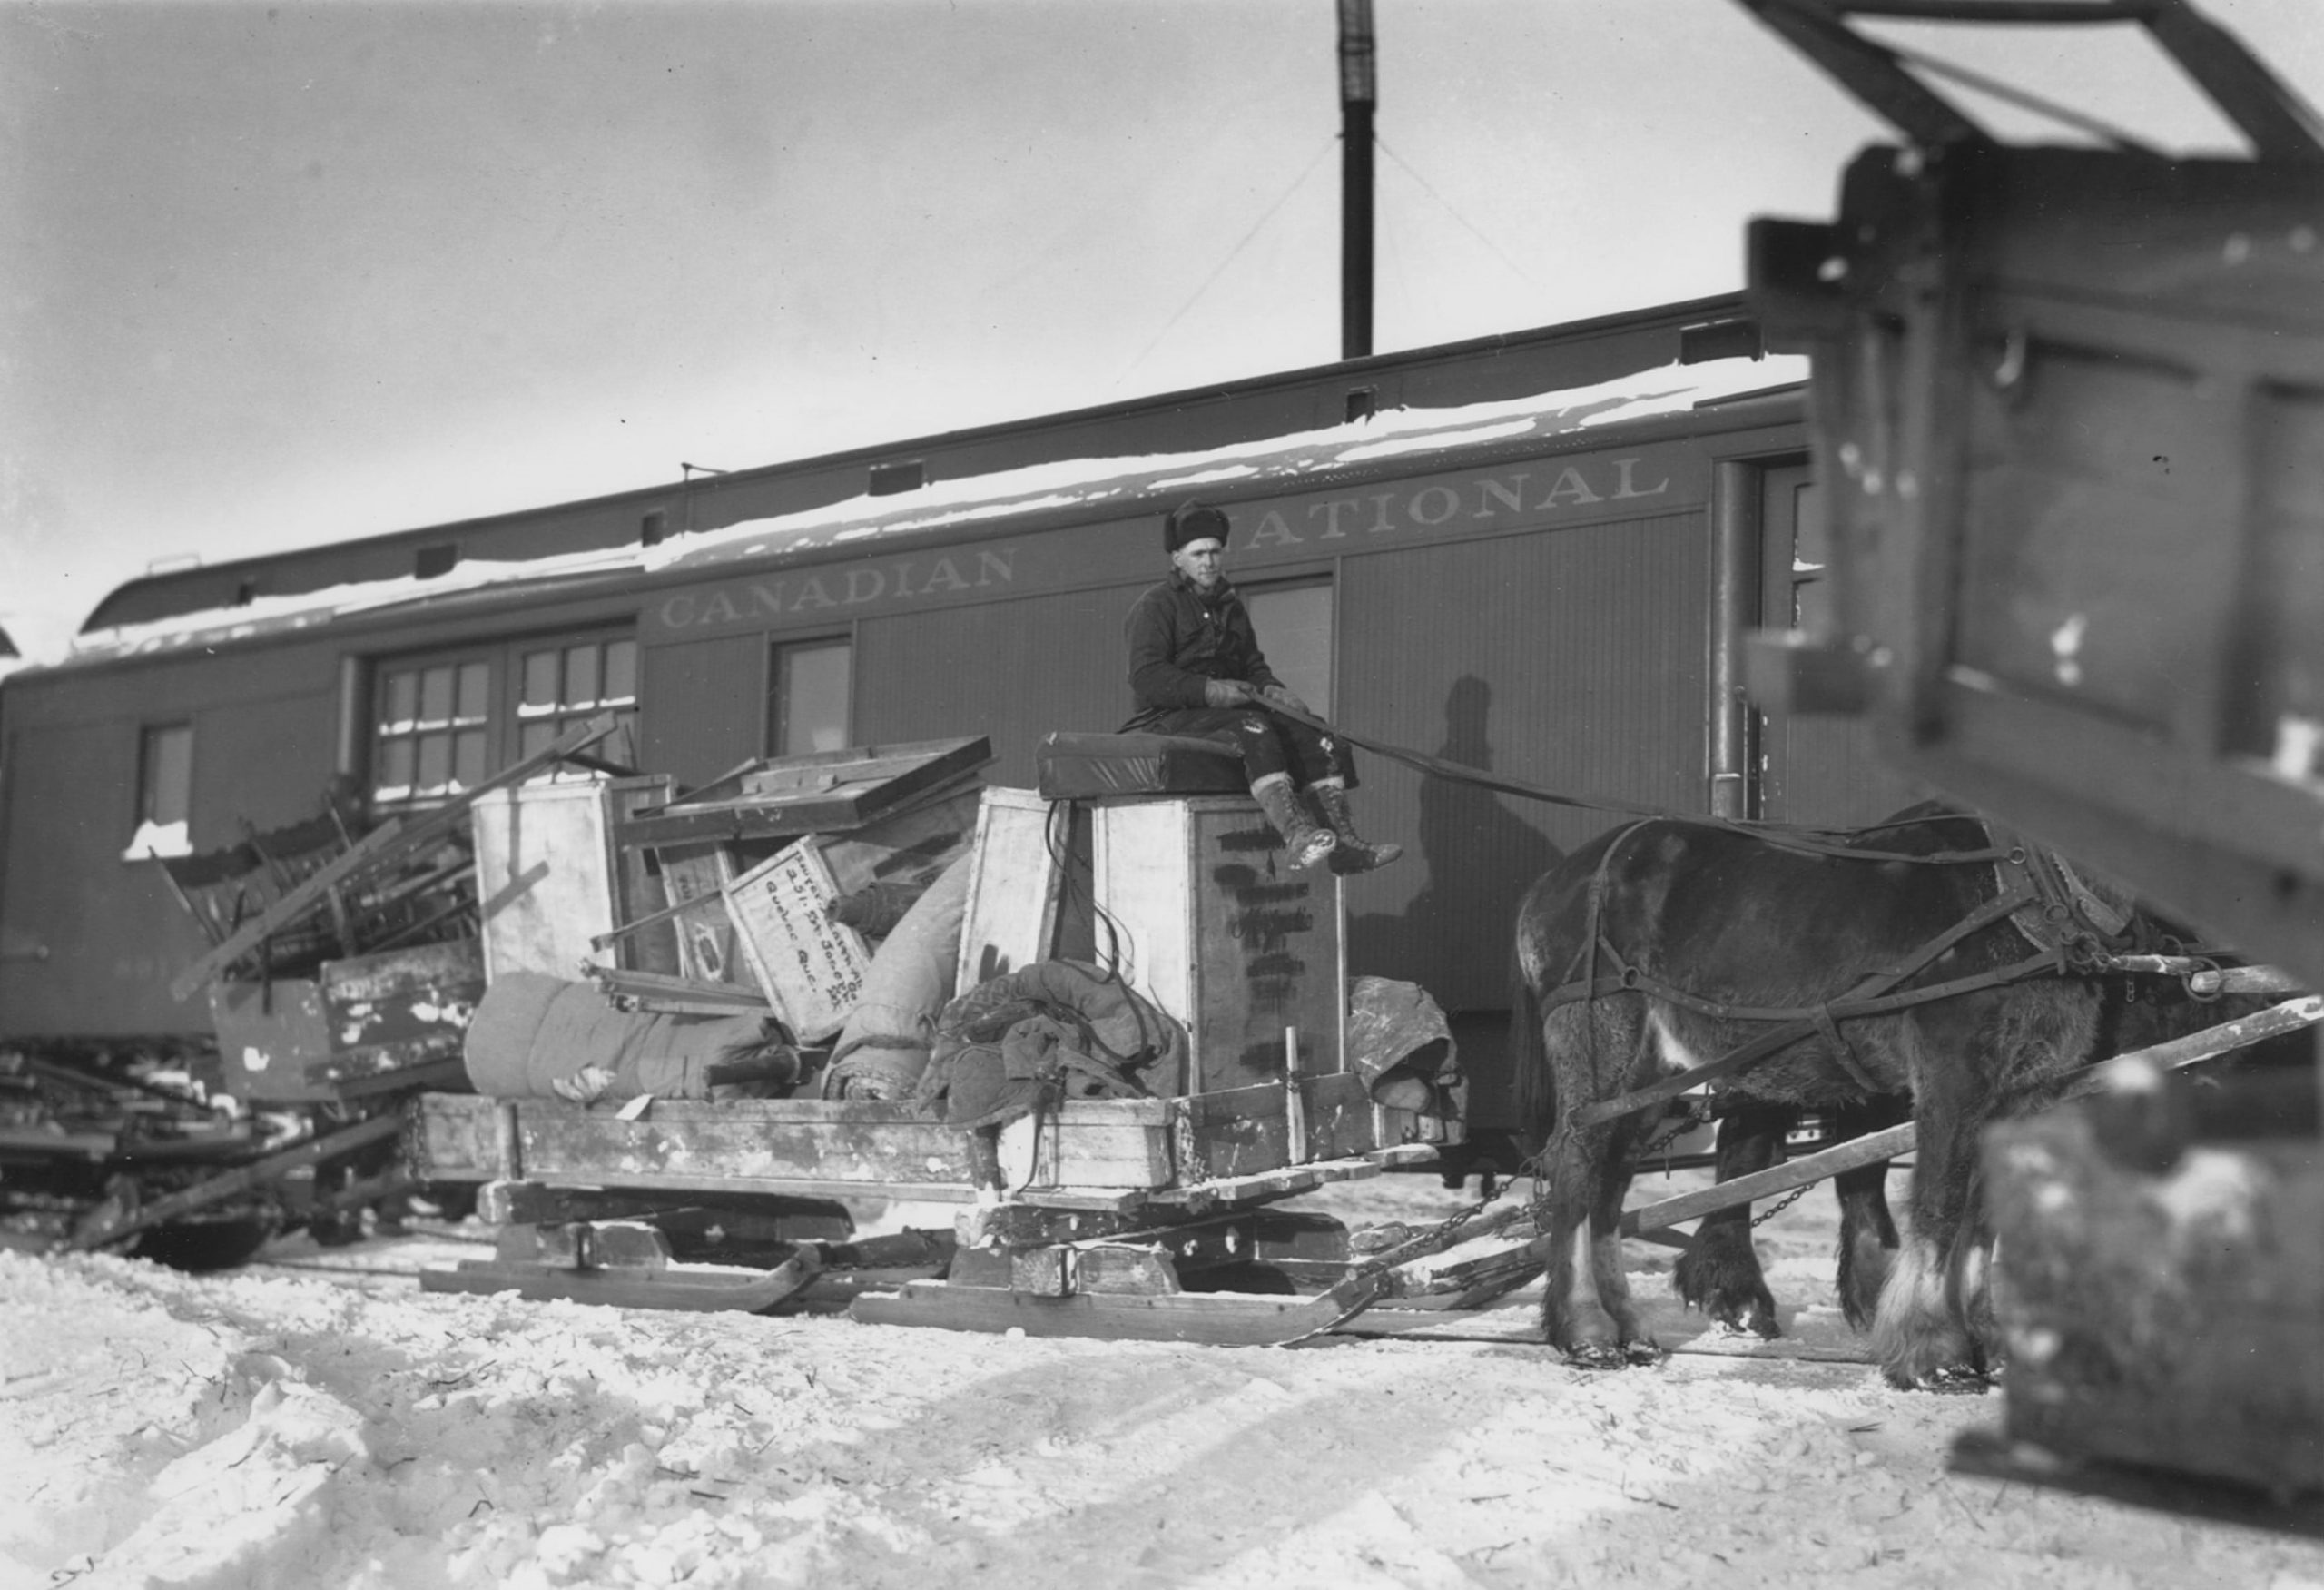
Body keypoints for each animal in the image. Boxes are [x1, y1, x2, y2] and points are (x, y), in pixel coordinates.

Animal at [1505, 799, 2138, 1385]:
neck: (2026, 888)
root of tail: (1553, 882)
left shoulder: (2022, 1096)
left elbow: (1983, 1224)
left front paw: (1993, 1347)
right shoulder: (1954, 1076)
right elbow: (1941, 1207)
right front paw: (1934, 1352)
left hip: (1651, 1073)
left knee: (1611, 1181)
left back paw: (1628, 1328)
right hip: (1600, 1039)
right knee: (1577, 1168)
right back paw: (1585, 1329)